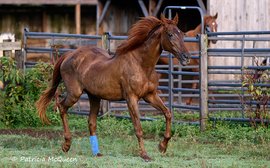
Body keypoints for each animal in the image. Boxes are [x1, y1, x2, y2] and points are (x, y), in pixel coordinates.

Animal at [35, 14, 191, 161]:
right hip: (75, 94)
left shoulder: (150, 95)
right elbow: (138, 127)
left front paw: (162, 146)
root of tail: (69, 54)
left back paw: (97, 153)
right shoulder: (131, 98)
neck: (141, 64)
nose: (186, 57)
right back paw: (66, 145)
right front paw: (145, 155)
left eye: (182, 34)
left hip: (94, 97)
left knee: (91, 122)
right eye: (170, 34)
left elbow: (168, 113)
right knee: (61, 107)